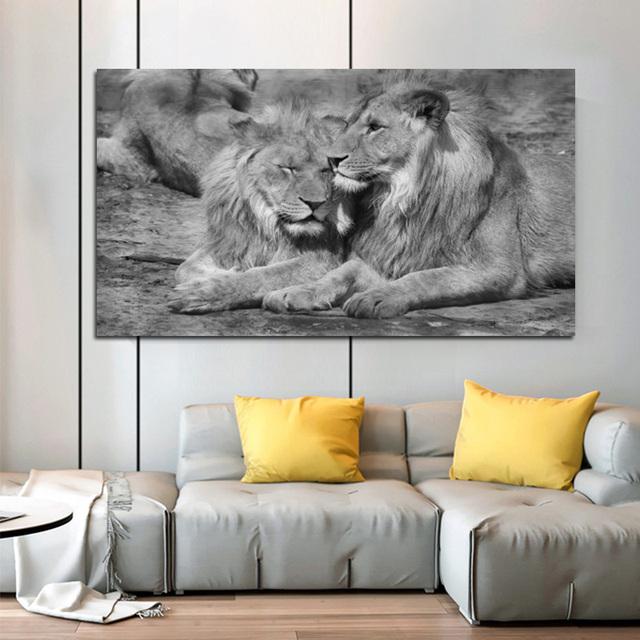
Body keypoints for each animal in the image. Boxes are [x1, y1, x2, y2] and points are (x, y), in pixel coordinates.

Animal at [168, 103, 353, 314]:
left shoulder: (325, 258)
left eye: (326, 170)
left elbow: (264, 275)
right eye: (287, 168)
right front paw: (221, 273)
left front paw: (203, 292)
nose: (316, 204)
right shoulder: (230, 242)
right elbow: (183, 269)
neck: (267, 224)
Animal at [263, 79, 574, 318]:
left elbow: (428, 278)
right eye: (347, 125)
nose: (331, 159)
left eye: (375, 127)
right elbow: (343, 271)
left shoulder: (500, 269)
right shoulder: (396, 255)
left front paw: (376, 297)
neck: (403, 197)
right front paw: (295, 292)